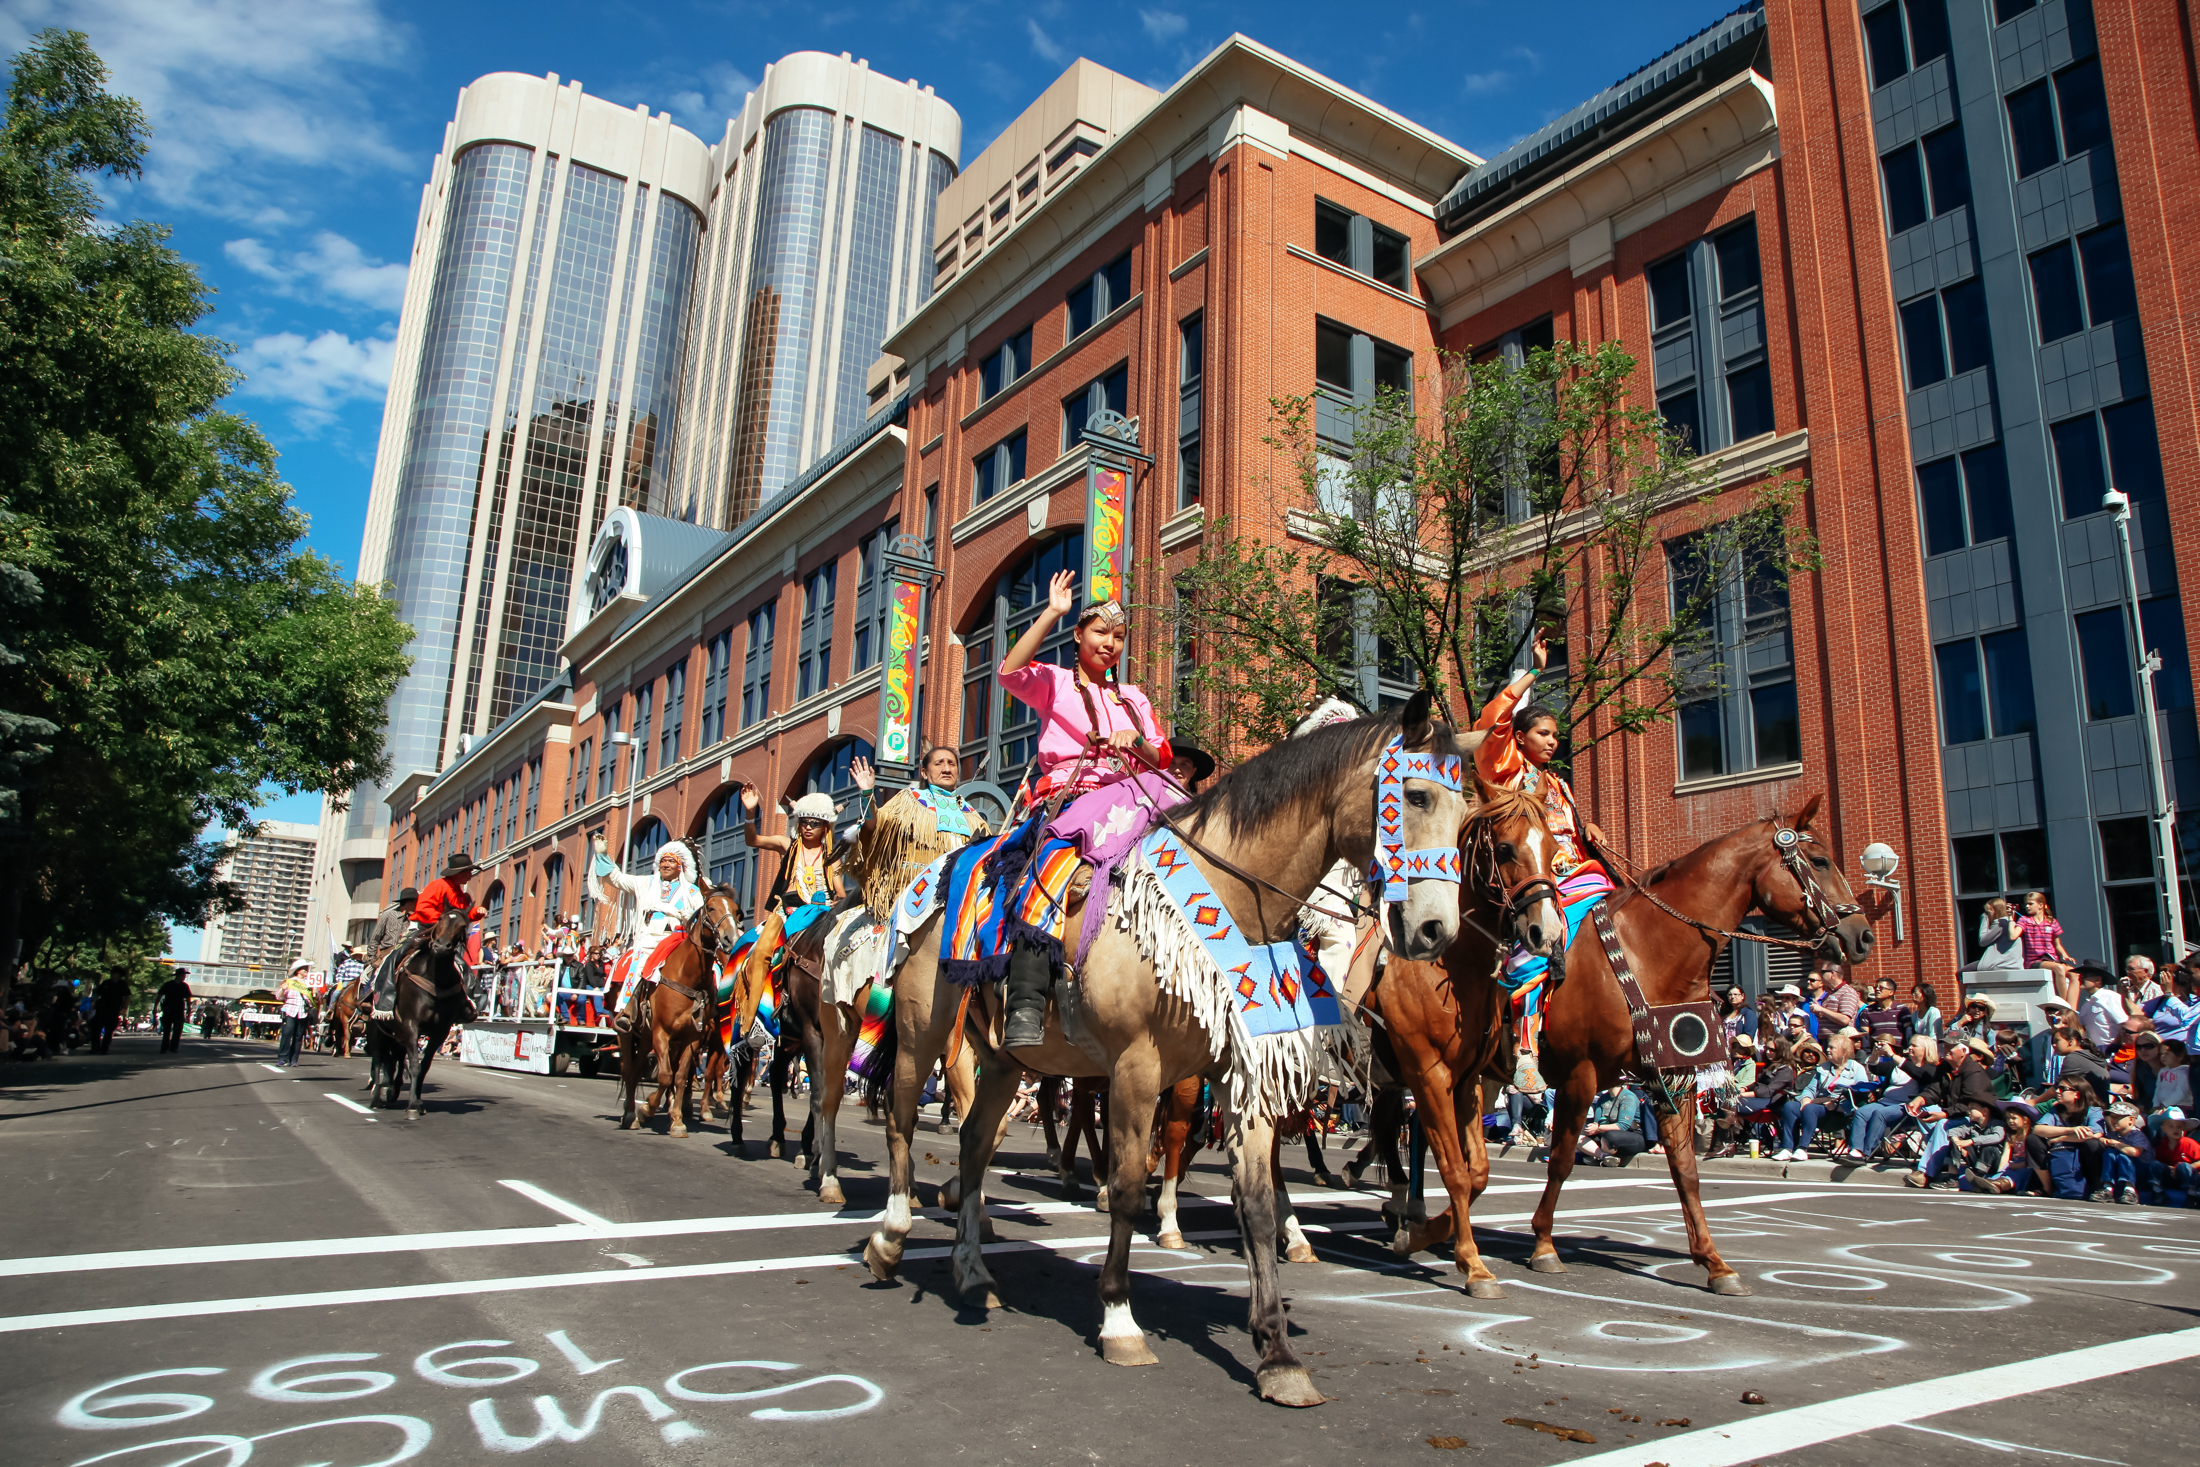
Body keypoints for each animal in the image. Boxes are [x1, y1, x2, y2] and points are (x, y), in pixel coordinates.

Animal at [365, 910, 473, 1117]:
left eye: (463, 925)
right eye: (440, 919)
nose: (441, 946)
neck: (436, 979)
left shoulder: (440, 1031)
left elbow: (423, 1066)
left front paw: (417, 1100)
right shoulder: (411, 1024)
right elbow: (414, 1064)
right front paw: (413, 1105)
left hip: (397, 1033)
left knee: (397, 1058)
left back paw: (393, 1091)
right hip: (377, 1029)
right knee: (377, 1059)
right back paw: (376, 1099)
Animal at [620, 884, 748, 1134]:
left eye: (737, 911)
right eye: (711, 908)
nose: (730, 940)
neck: (687, 977)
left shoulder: (693, 1037)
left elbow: (681, 1076)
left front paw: (678, 1119)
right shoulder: (662, 1033)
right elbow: (665, 1075)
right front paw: (649, 1108)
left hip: (646, 1037)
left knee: (639, 1069)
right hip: (627, 1034)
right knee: (629, 1070)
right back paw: (630, 1114)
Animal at [858, 695, 1478, 1407]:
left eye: (1466, 814)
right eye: (1416, 795)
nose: (1435, 930)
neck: (1227, 896)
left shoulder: (1239, 1076)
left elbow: (1257, 1202)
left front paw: (1277, 1354)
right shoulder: (1135, 1069)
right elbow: (1128, 1188)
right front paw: (1120, 1320)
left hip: (1005, 1062)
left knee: (974, 1145)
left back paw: (972, 1273)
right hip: (923, 1033)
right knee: (903, 1122)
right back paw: (889, 1240)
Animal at [1381, 791, 1865, 1293]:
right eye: (1821, 861)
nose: (1862, 935)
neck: (1648, 952)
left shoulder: (1671, 1077)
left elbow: (1685, 1170)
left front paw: (1714, 1262)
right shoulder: (1580, 1074)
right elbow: (1561, 1160)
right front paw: (1544, 1245)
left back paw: (1415, 1221)